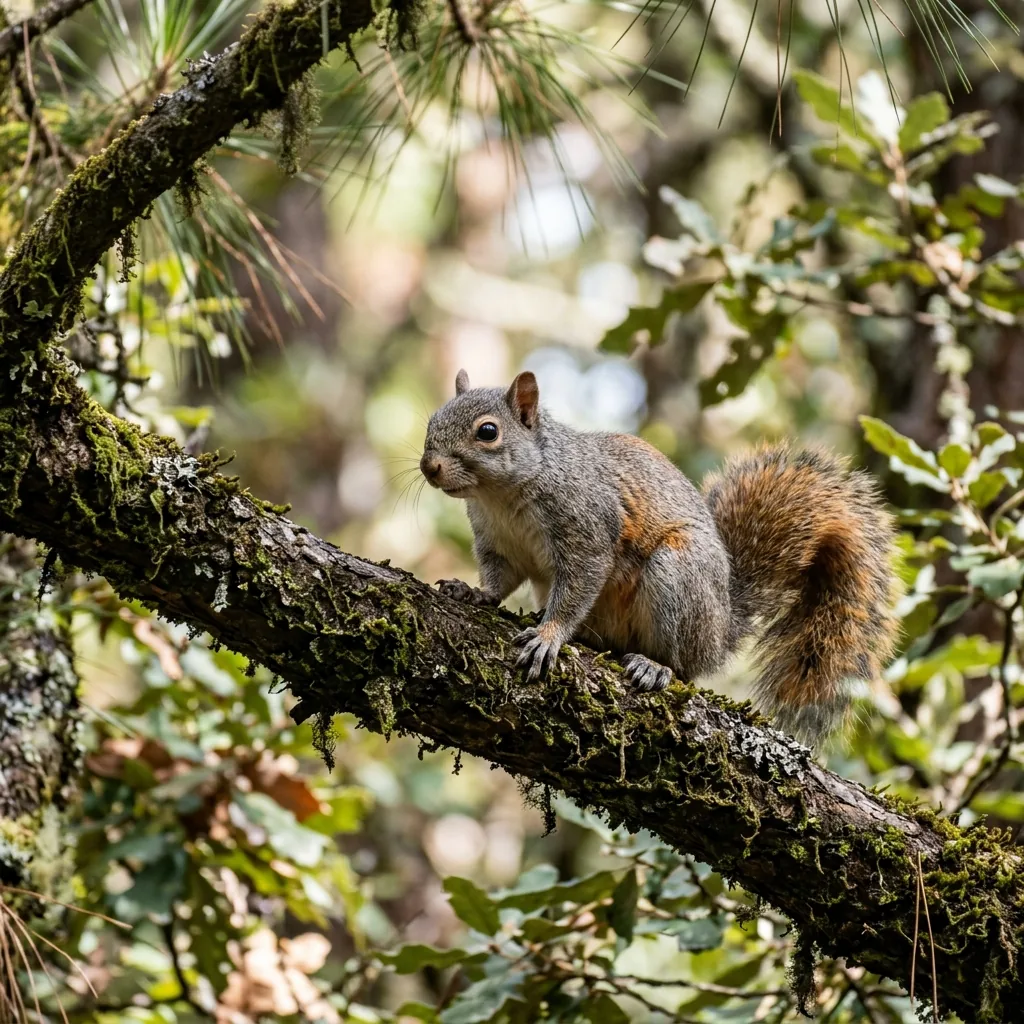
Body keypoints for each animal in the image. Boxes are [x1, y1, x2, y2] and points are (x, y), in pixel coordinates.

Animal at [419, 369, 899, 743]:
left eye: (488, 432)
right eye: (432, 421)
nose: (430, 467)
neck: (500, 497)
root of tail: (721, 629)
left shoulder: (588, 528)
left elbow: (578, 586)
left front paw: (548, 636)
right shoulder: (497, 544)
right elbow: (498, 580)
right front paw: (473, 593)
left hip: (677, 576)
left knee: (686, 666)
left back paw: (656, 666)